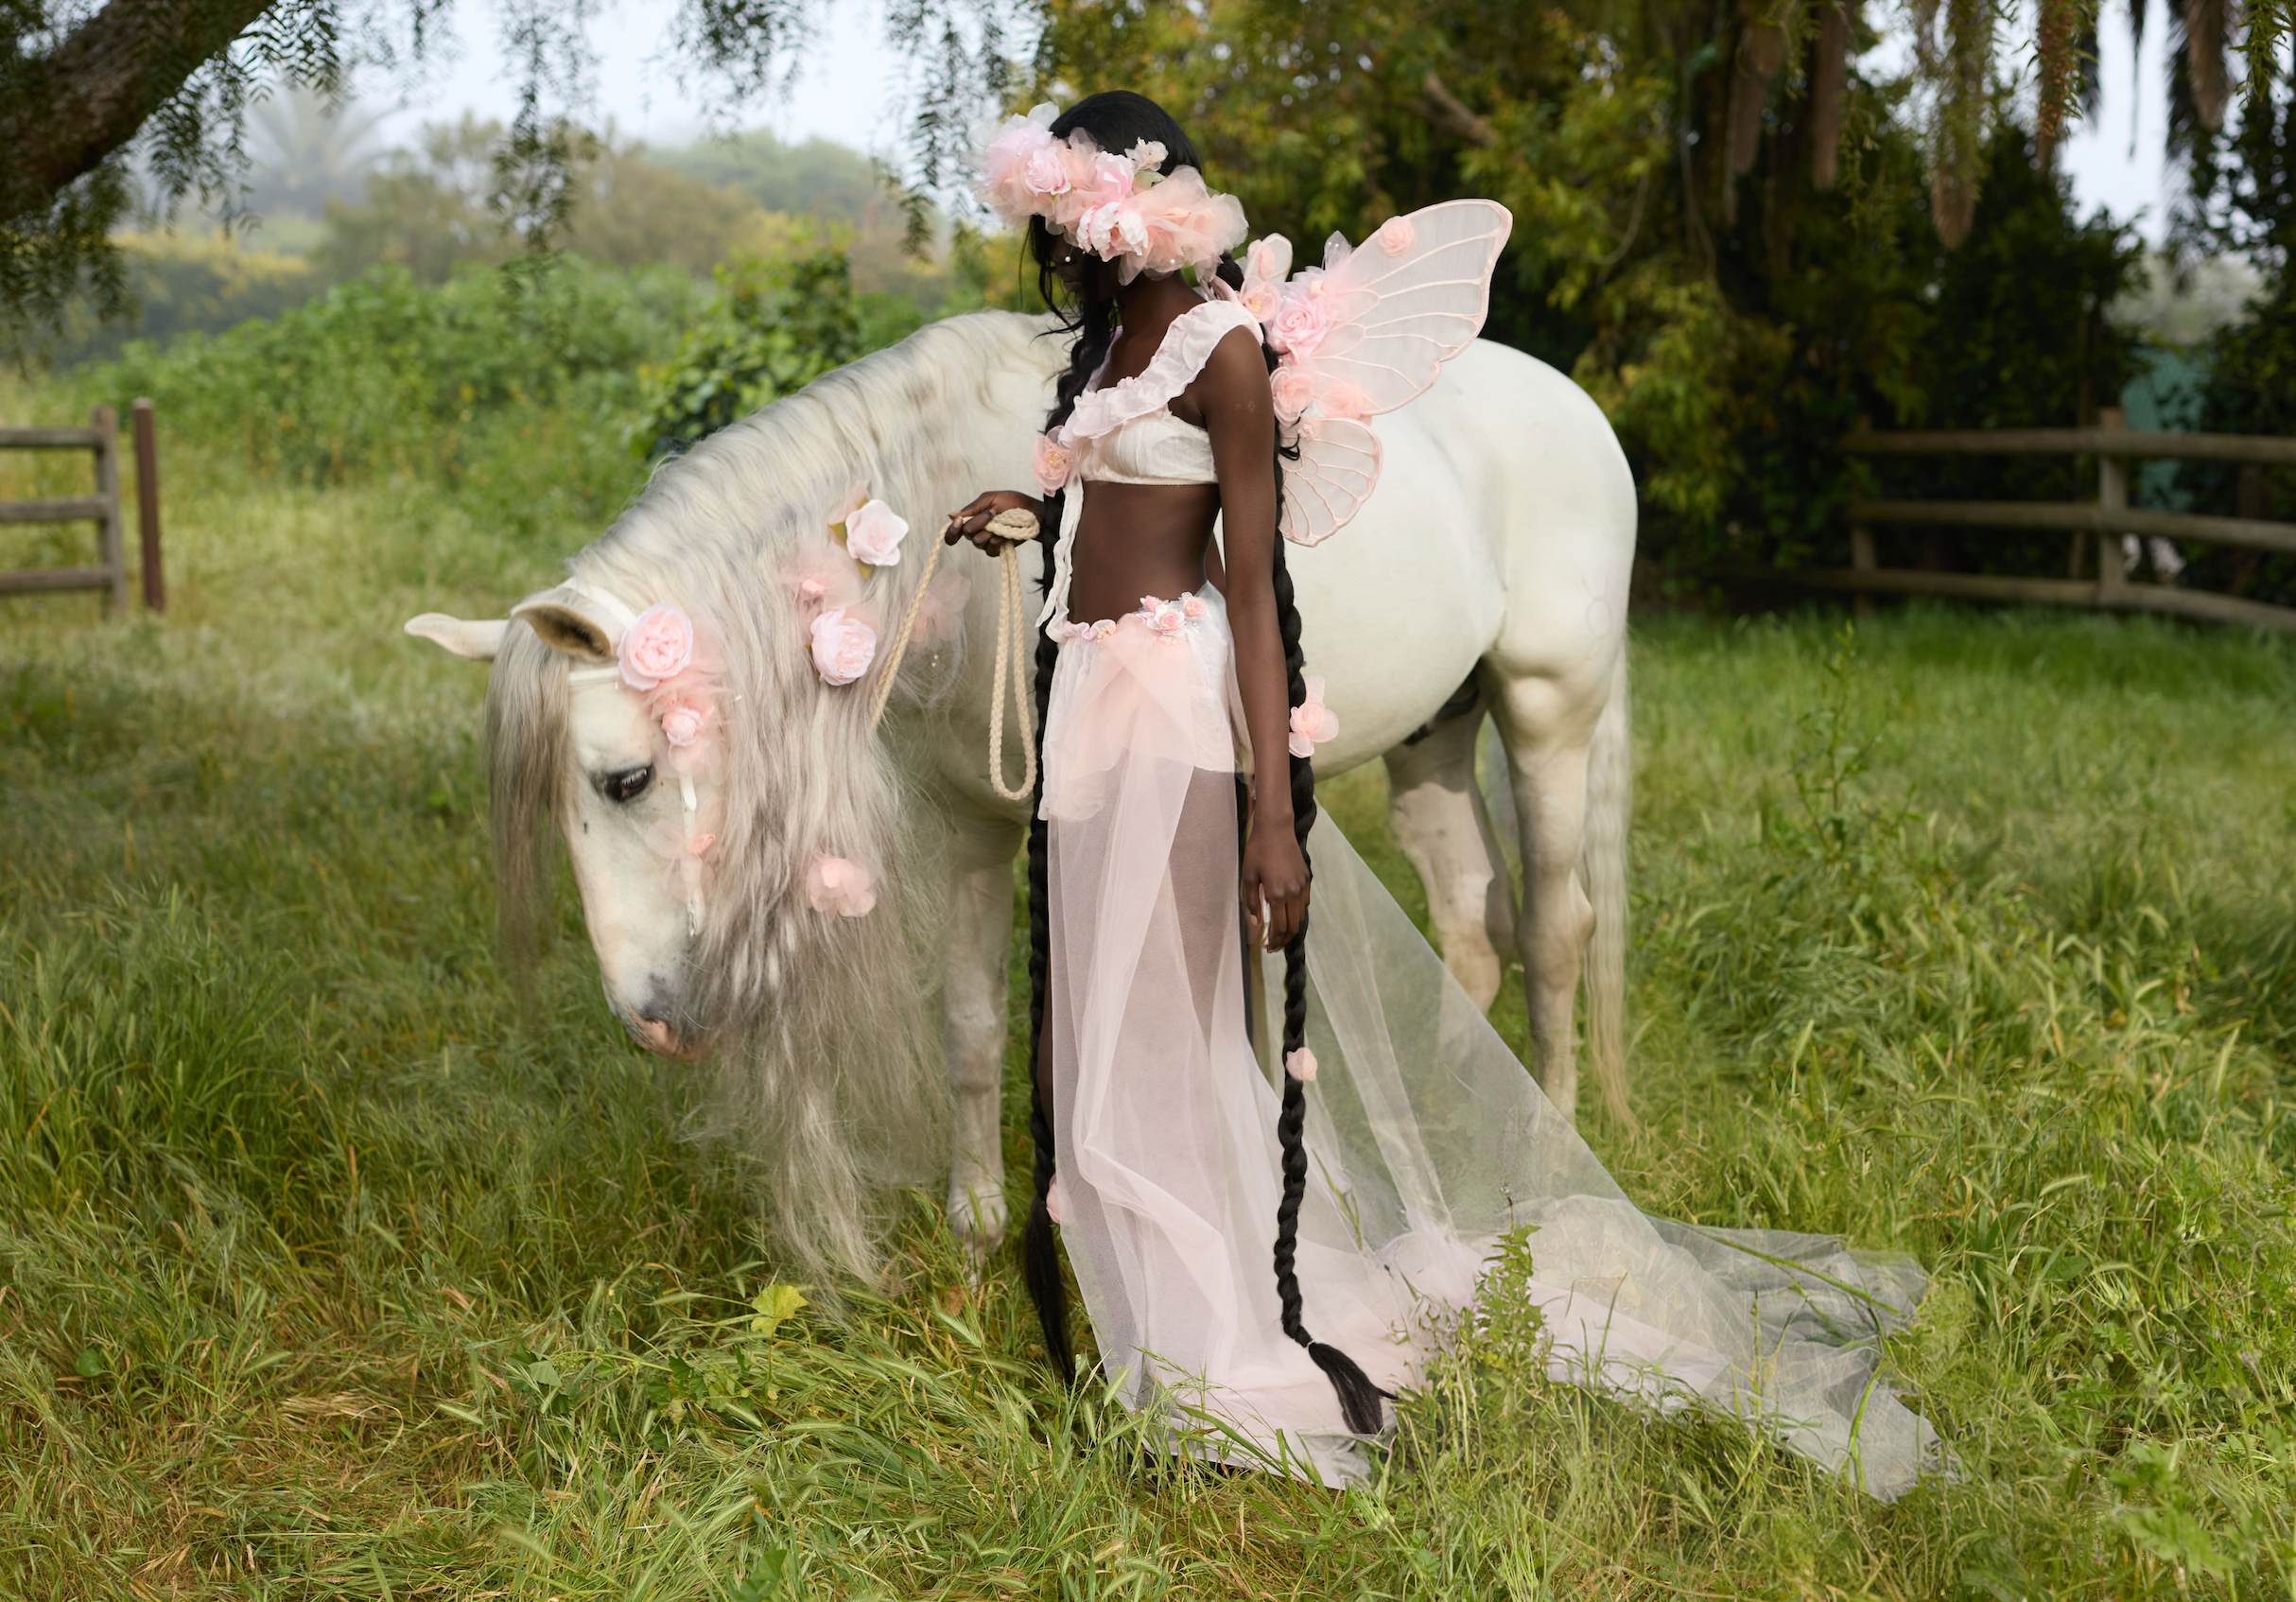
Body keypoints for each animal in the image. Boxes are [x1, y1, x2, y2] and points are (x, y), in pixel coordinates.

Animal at [409, 305, 1634, 1266]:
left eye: (625, 779)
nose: (652, 1022)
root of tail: (1577, 406)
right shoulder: (969, 826)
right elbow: (970, 1024)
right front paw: (979, 1217)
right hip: (1434, 734)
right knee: (1472, 919)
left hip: (1547, 710)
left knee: (1554, 925)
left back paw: (1542, 1150)